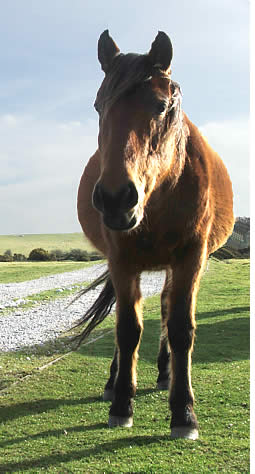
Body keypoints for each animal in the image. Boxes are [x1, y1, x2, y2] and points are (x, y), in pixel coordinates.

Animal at [77, 30, 235, 440]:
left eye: (162, 106)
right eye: (98, 106)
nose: (116, 198)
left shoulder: (191, 259)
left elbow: (180, 328)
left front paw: (183, 413)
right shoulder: (122, 261)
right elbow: (127, 329)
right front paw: (121, 403)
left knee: (165, 309)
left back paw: (166, 374)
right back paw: (114, 381)